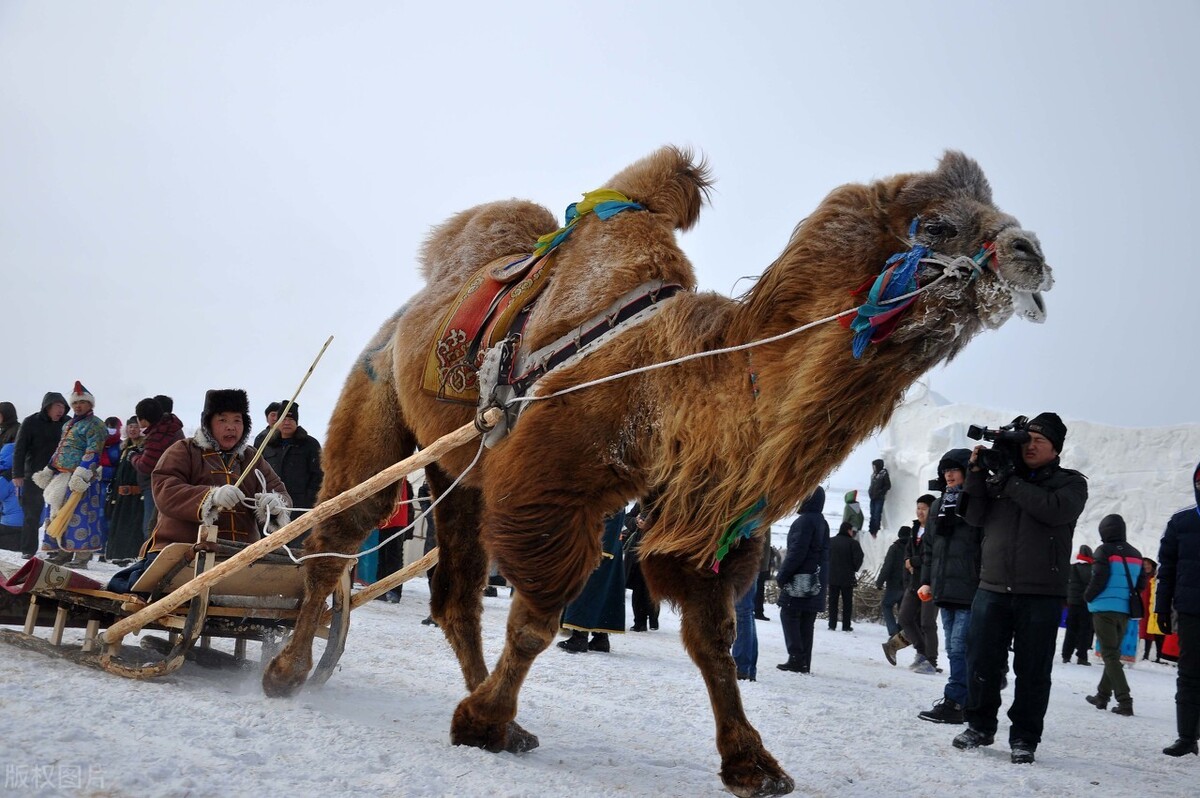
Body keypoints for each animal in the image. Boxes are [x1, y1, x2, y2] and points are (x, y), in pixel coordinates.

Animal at [262, 146, 1051, 792]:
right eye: (939, 224)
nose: (1032, 252)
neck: (670, 374)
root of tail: (411, 308)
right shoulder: (553, 484)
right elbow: (539, 617)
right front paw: (483, 723)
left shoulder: (698, 505)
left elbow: (712, 637)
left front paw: (752, 763)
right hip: (377, 400)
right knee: (339, 537)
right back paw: (287, 672)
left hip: (464, 471)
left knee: (454, 595)